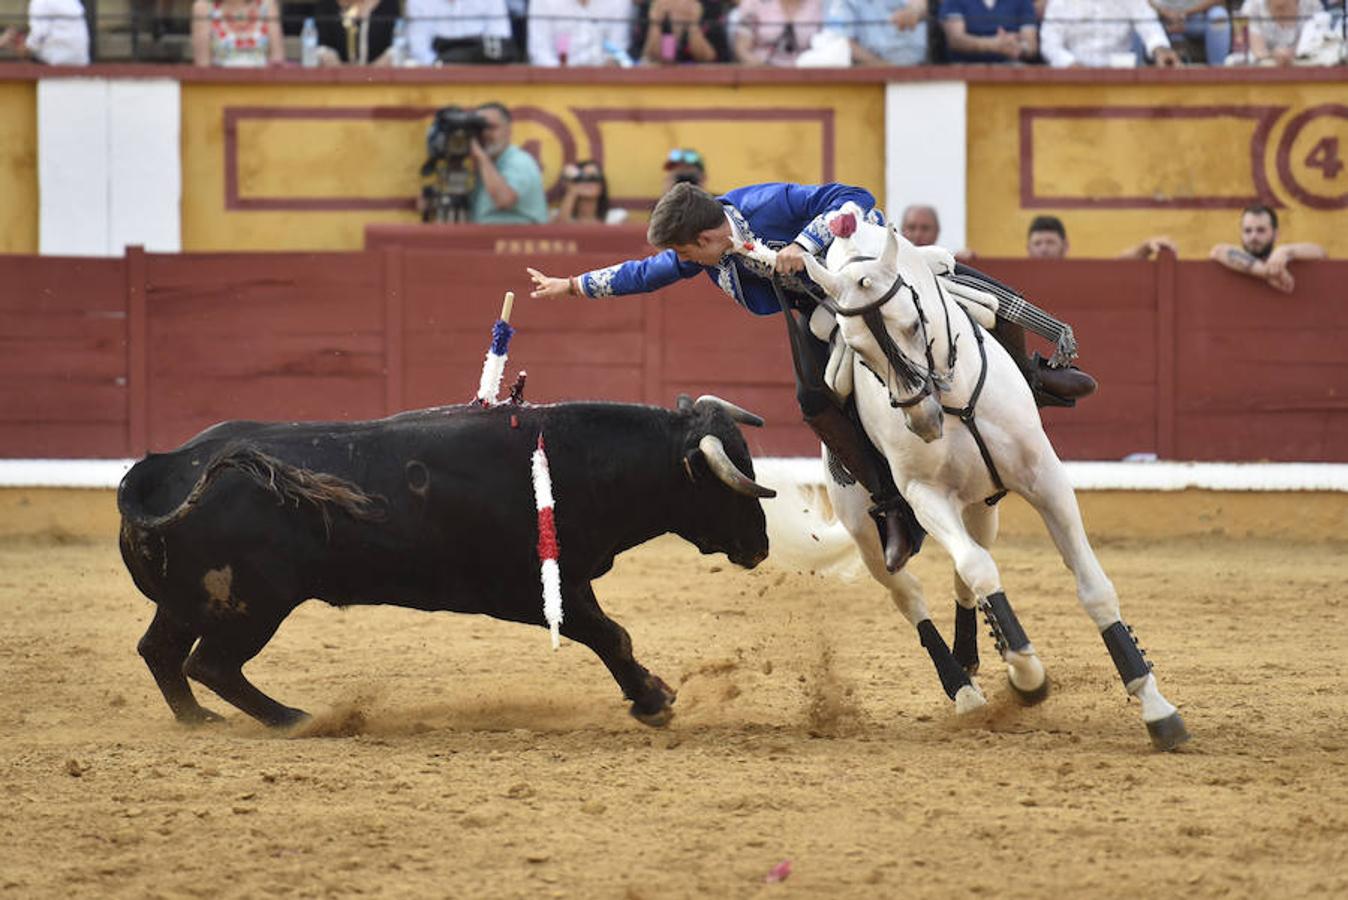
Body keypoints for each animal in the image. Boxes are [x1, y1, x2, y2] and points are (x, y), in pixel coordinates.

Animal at [121, 396, 776, 727]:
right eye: (731, 481)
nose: (760, 546)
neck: (577, 459)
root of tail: (161, 467)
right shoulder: (533, 589)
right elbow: (611, 634)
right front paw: (654, 701)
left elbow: (612, 634)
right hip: (253, 604)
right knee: (212, 664)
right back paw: (294, 719)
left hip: (193, 602)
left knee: (161, 652)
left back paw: (198, 720)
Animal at [781, 212, 1191, 754]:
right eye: (859, 351)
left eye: (913, 323)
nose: (924, 422)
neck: (952, 394)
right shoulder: (925, 495)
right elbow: (978, 569)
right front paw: (1028, 675)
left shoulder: (1044, 478)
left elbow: (1093, 588)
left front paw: (1156, 707)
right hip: (868, 535)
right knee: (914, 593)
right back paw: (964, 689)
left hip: (981, 506)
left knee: (966, 569)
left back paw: (973, 656)